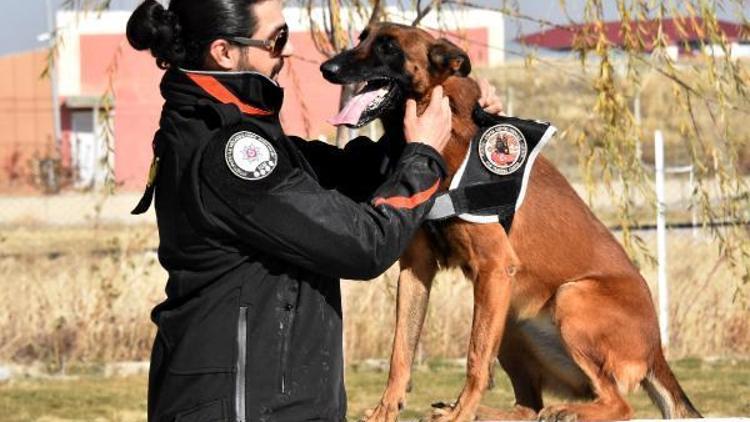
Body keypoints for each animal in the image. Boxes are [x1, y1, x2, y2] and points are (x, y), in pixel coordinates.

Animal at [320, 23, 704, 422]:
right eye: (362, 38)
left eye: (388, 47)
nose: (327, 69)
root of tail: (656, 352)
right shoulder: (417, 269)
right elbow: (401, 351)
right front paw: (387, 410)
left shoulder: (494, 267)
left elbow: (474, 358)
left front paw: (460, 413)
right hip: (511, 318)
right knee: (529, 407)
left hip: (569, 296)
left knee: (618, 404)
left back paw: (557, 411)